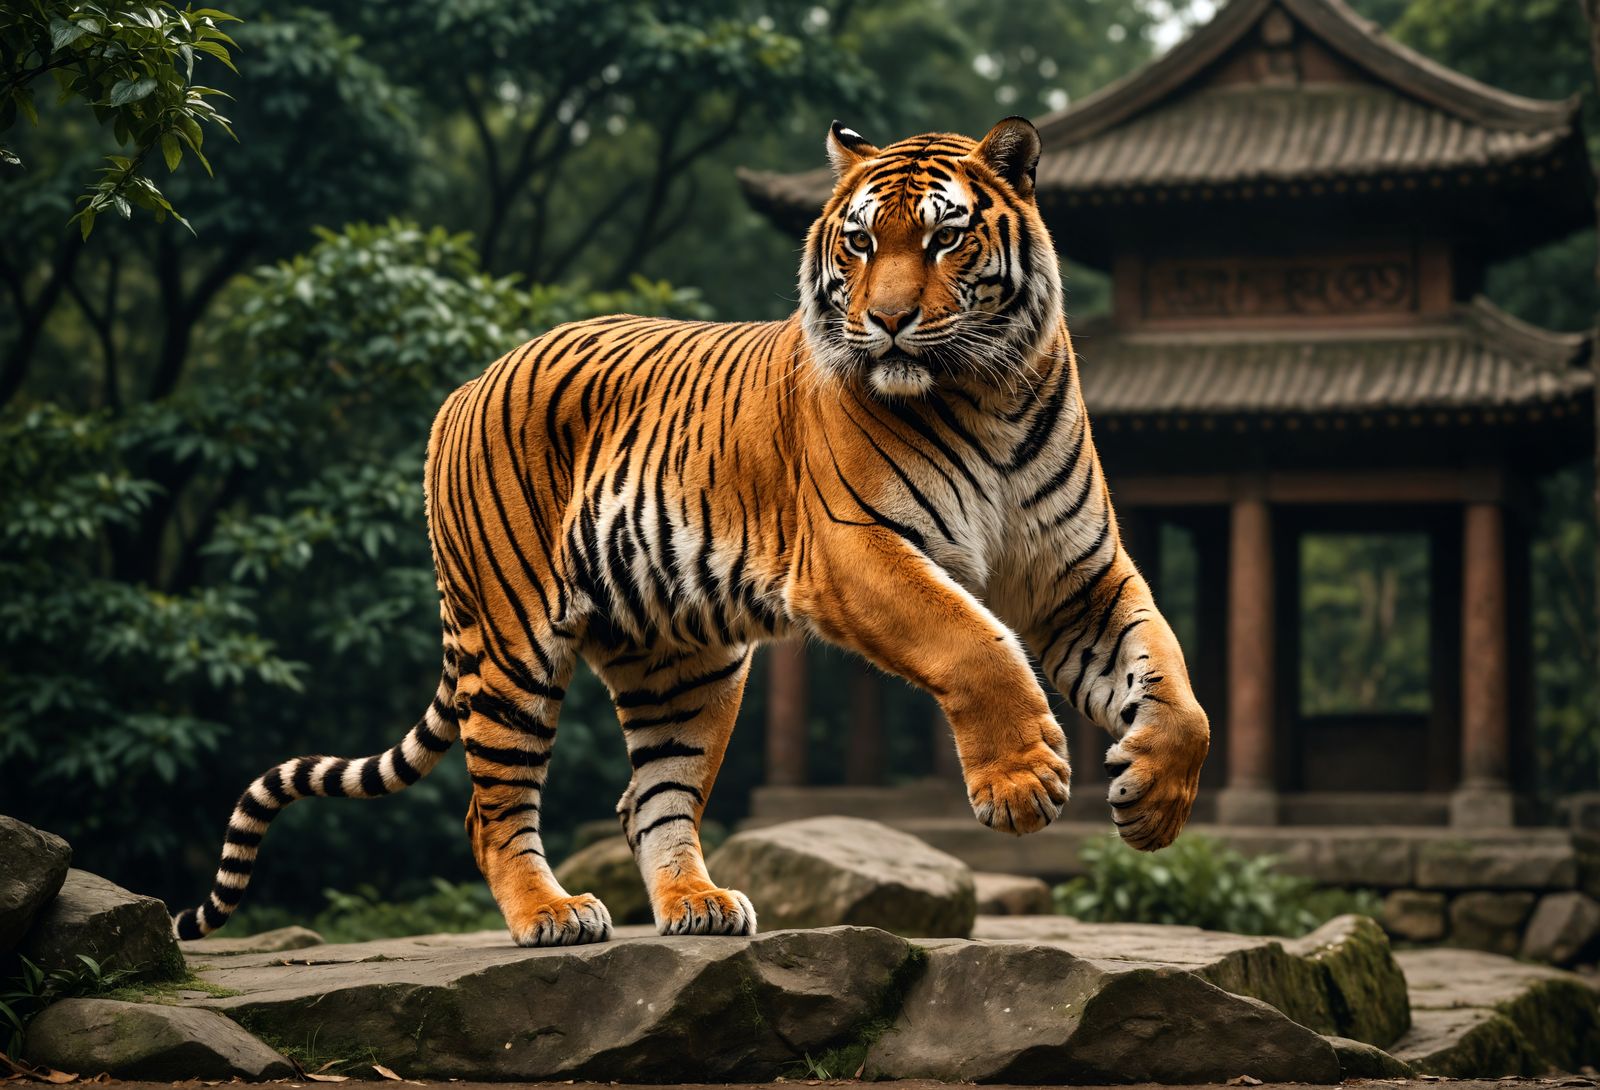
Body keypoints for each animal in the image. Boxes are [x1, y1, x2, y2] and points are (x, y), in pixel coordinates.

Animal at [174, 116, 1210, 948]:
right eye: (860, 242)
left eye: (945, 237)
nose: (886, 322)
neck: (991, 392)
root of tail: (468, 382)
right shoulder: (856, 550)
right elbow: (974, 645)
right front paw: (1024, 784)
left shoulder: (1077, 577)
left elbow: (1172, 682)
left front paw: (1151, 799)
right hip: (512, 642)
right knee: (489, 805)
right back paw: (551, 915)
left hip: (685, 664)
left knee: (649, 800)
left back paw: (697, 904)